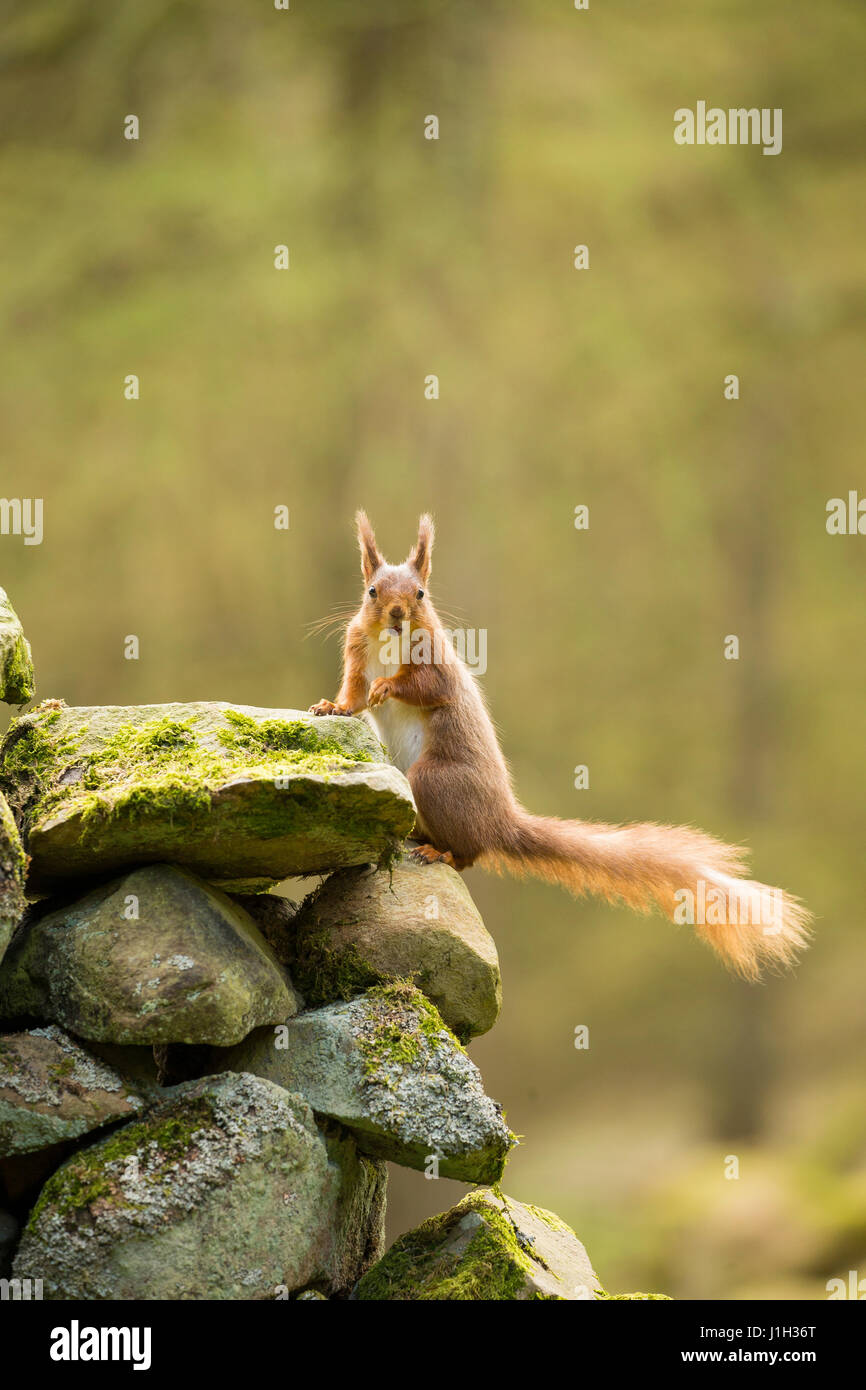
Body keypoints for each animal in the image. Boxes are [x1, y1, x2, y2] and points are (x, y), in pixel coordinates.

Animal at [311, 511, 811, 978]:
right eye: (372, 591)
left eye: (420, 594)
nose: (397, 613)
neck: (389, 642)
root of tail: (501, 821)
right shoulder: (358, 655)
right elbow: (355, 695)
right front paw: (332, 707)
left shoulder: (436, 665)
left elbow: (424, 687)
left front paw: (388, 688)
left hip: (435, 780)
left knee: (470, 853)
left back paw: (440, 851)